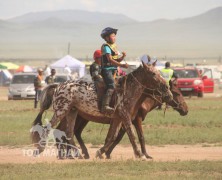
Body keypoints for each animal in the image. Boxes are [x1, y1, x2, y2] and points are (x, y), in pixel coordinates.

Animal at [31, 62, 173, 159]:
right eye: (153, 73)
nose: (167, 88)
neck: (128, 89)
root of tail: (58, 85)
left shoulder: (118, 118)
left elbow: (112, 136)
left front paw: (101, 152)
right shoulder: (125, 116)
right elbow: (132, 135)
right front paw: (140, 154)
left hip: (72, 112)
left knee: (69, 132)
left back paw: (77, 154)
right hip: (61, 111)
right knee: (48, 128)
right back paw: (41, 149)